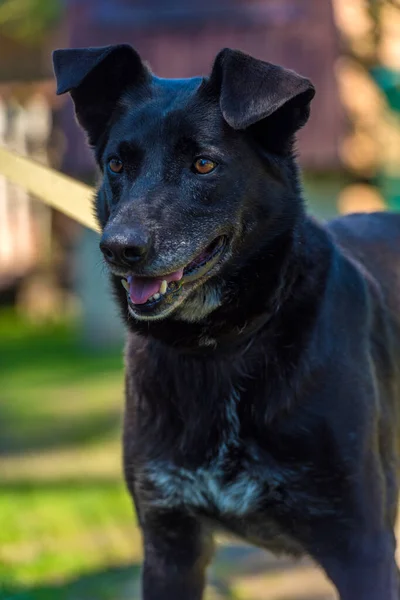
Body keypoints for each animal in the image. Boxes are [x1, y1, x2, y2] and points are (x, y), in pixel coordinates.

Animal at [53, 44, 400, 596]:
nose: (119, 249)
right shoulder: (170, 542)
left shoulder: (361, 546)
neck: (218, 347)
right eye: (116, 164)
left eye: (203, 164)